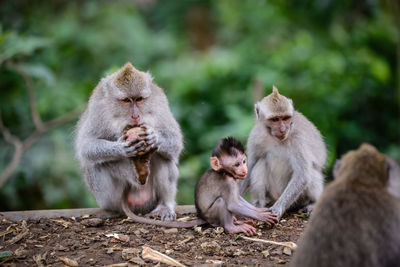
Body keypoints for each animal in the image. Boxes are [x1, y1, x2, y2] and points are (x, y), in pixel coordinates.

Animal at [74, 62, 184, 222]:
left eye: (139, 99)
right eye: (126, 100)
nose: (135, 116)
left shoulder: (160, 103)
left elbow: (175, 142)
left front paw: (154, 137)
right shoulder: (97, 108)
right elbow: (86, 146)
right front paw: (121, 148)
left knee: (164, 157)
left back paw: (164, 205)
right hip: (109, 199)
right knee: (95, 165)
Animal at [239, 86, 326, 220]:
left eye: (285, 118)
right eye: (275, 119)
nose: (283, 129)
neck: (275, 138)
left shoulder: (298, 140)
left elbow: (302, 175)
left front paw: (278, 208)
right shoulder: (255, 136)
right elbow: (250, 165)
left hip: (298, 199)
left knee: (311, 172)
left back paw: (313, 203)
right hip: (272, 193)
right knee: (261, 162)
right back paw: (259, 204)